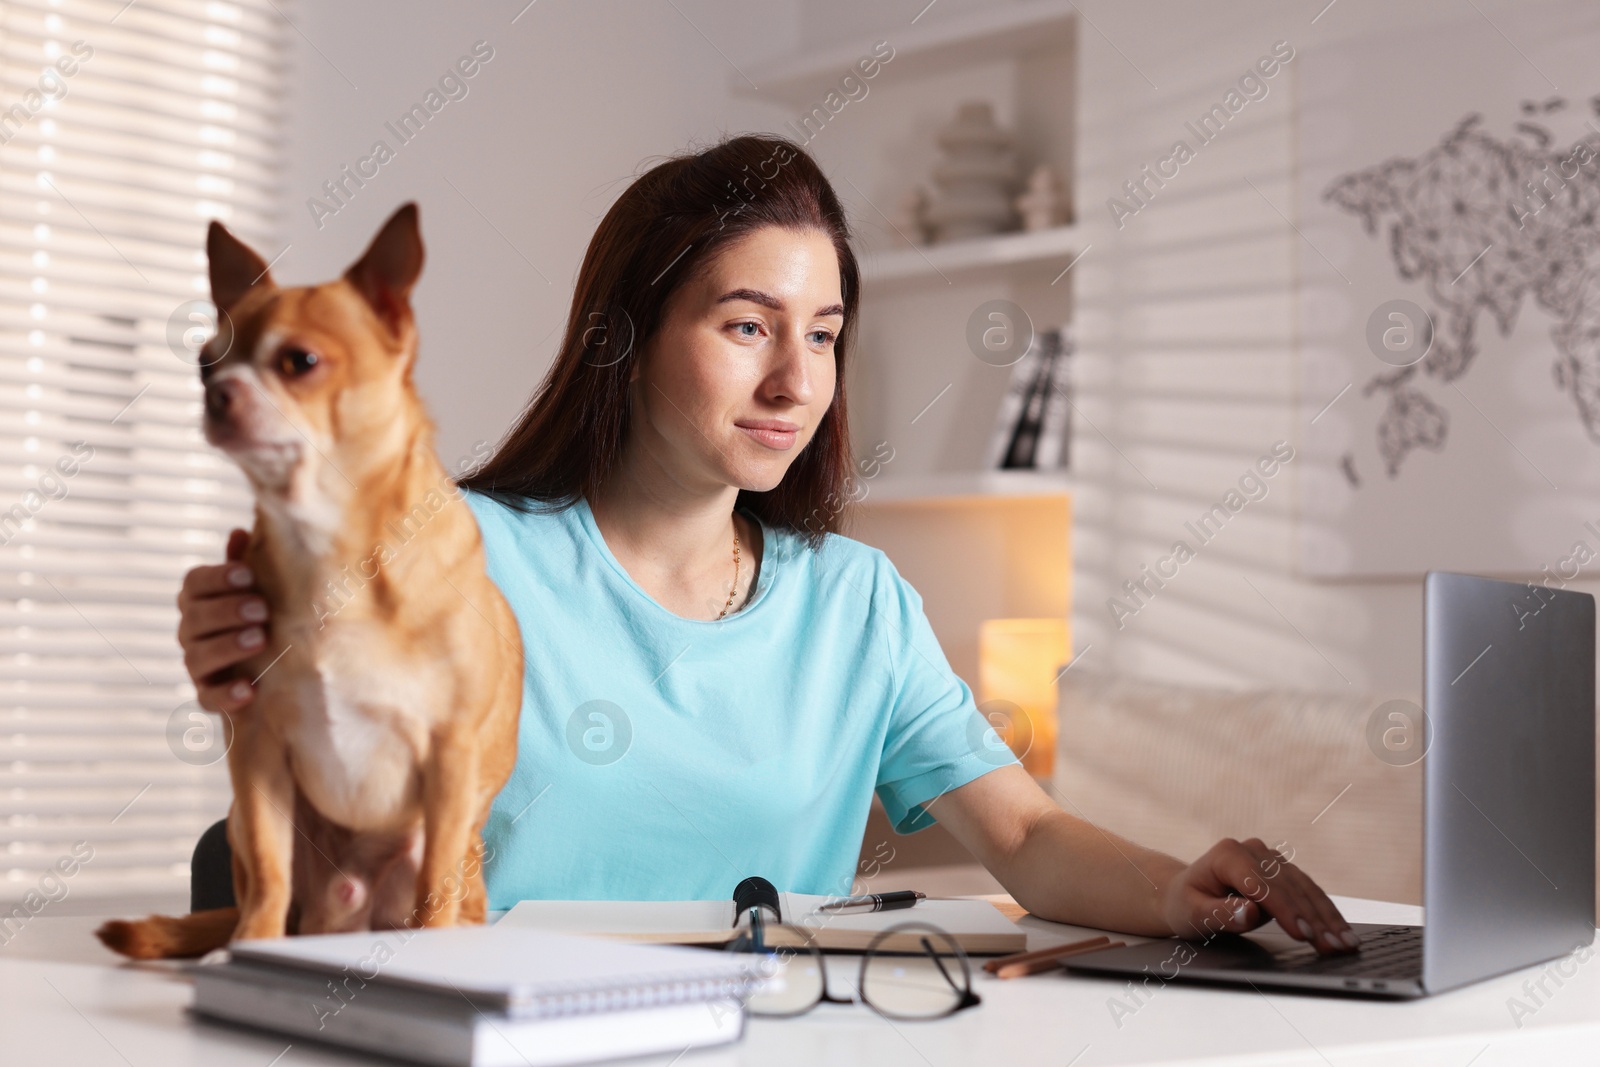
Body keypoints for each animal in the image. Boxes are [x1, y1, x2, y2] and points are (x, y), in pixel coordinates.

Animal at [98, 204, 524, 966]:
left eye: (300, 362)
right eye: (205, 361)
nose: (217, 393)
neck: (325, 549)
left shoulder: (449, 758)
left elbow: (435, 883)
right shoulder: (259, 751)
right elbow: (270, 874)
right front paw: (248, 948)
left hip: (453, 851)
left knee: (444, 893)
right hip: (251, 824)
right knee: (277, 890)